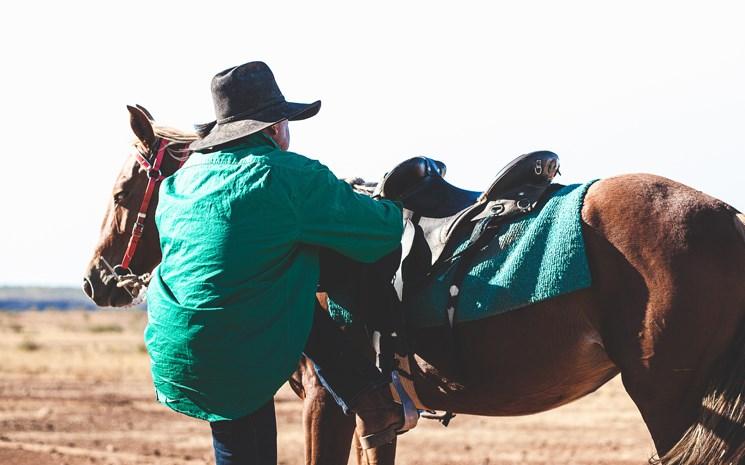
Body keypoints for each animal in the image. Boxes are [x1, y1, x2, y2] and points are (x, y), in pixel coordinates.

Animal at [84, 105, 744, 464]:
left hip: (669, 398)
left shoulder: (328, 402)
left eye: (119, 194)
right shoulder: (371, 414)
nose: (96, 280)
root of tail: (726, 215)